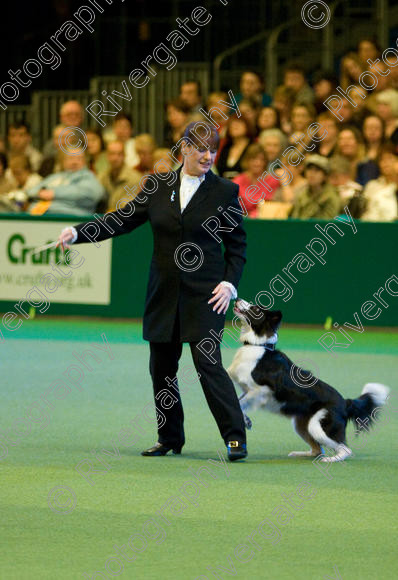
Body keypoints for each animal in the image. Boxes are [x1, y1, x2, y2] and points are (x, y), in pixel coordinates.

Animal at [227, 300, 388, 462]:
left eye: (255, 309)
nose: (237, 299)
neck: (257, 346)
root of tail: (345, 402)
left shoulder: (262, 390)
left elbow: (240, 403)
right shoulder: (247, 390)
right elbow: (238, 402)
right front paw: (246, 420)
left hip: (318, 426)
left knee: (344, 449)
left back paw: (330, 460)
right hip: (301, 424)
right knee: (317, 449)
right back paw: (300, 454)